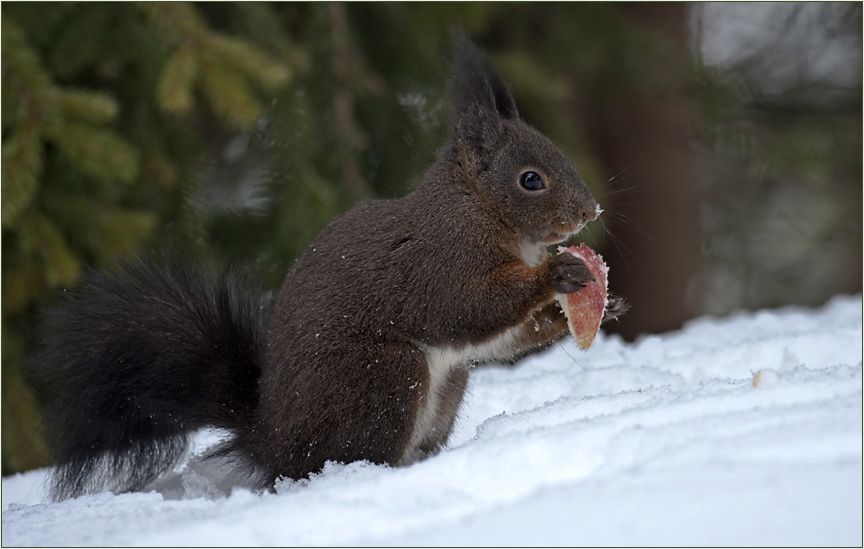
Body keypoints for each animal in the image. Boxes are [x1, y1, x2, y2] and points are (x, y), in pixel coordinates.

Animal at [37, 31, 624, 500]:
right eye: (531, 179)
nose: (591, 211)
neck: (482, 213)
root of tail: (271, 441)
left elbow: (506, 336)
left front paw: (598, 308)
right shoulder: (437, 263)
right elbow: (467, 309)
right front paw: (558, 277)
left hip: (446, 385)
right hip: (384, 377)